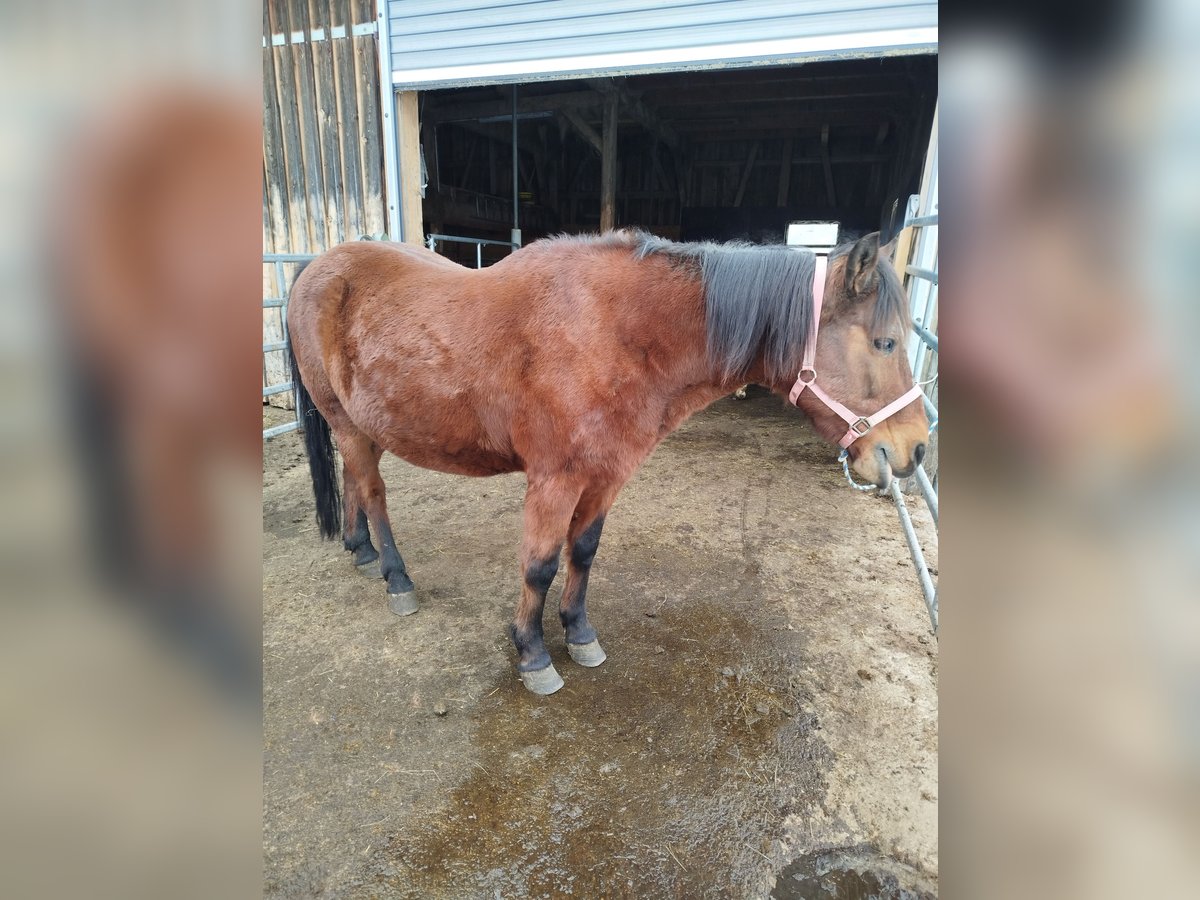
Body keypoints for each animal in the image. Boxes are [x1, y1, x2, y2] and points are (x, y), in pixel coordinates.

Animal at [286, 230, 928, 694]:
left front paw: (579, 633)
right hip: (349, 424)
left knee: (353, 480)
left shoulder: (607, 475)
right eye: (885, 342)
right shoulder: (553, 481)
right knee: (373, 492)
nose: (915, 450)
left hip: (361, 425)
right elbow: (540, 565)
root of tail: (317, 266)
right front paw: (532, 654)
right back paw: (395, 576)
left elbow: (584, 552)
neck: (611, 333)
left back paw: (361, 550)